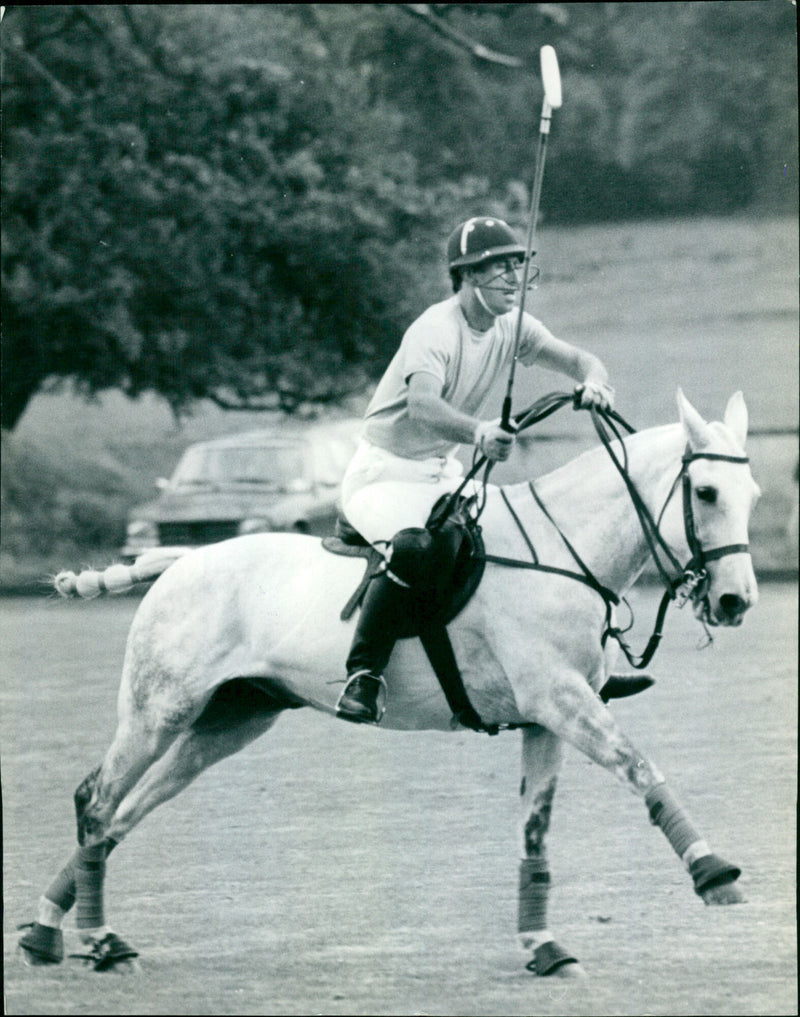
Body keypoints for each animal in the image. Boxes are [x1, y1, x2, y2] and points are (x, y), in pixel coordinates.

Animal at [15, 388, 760, 976]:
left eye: (750, 495)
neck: (562, 550)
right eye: (706, 492)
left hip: (232, 719)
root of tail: (176, 560)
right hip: (159, 708)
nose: (734, 601)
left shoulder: (545, 717)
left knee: (125, 812)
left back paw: (49, 932)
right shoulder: (562, 700)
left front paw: (544, 946)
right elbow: (640, 765)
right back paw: (96, 939)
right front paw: (714, 873)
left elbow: (535, 832)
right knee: (98, 800)